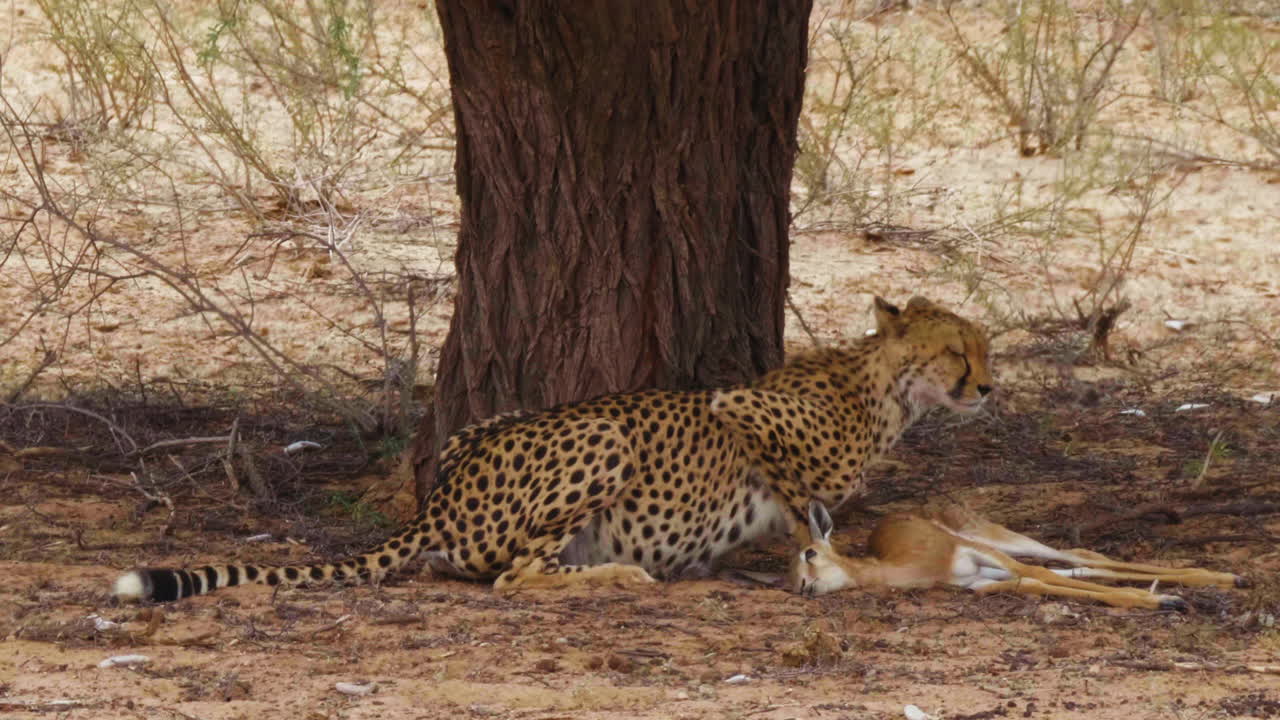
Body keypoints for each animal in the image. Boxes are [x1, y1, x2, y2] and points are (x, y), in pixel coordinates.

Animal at [114, 296, 993, 603]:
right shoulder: (735, 403)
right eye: (958, 349)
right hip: (602, 432)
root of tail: (440, 498)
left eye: (985, 346)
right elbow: (797, 490)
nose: (987, 387)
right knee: (513, 576)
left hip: (482, 424)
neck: (883, 388)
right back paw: (623, 574)